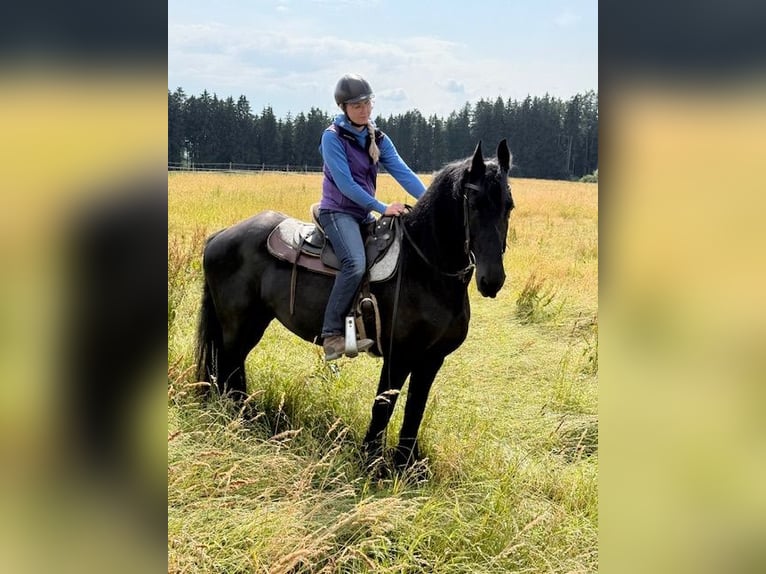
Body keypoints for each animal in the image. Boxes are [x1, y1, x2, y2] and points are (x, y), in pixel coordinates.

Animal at [195, 139, 514, 469]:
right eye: (474, 205)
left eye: (509, 206)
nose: (492, 280)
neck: (425, 268)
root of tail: (221, 236)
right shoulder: (399, 356)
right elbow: (383, 406)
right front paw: (371, 461)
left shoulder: (431, 359)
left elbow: (415, 410)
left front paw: (405, 464)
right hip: (236, 324)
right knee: (228, 364)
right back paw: (236, 415)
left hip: (254, 321)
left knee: (232, 365)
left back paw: (243, 413)